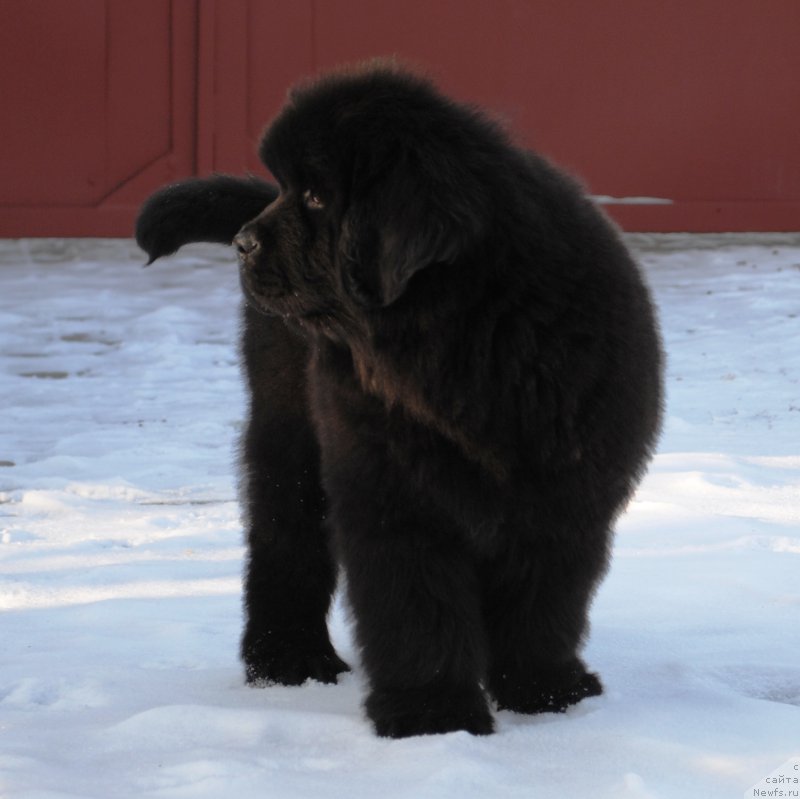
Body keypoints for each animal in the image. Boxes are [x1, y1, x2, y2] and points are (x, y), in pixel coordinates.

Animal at [138, 62, 664, 736]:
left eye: (316, 197)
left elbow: (545, 600)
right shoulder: (394, 489)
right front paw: (433, 715)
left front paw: (545, 693)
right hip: (289, 436)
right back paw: (289, 661)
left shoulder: (566, 488)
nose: (242, 242)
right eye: (292, 189)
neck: (466, 335)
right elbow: (417, 606)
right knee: (284, 542)